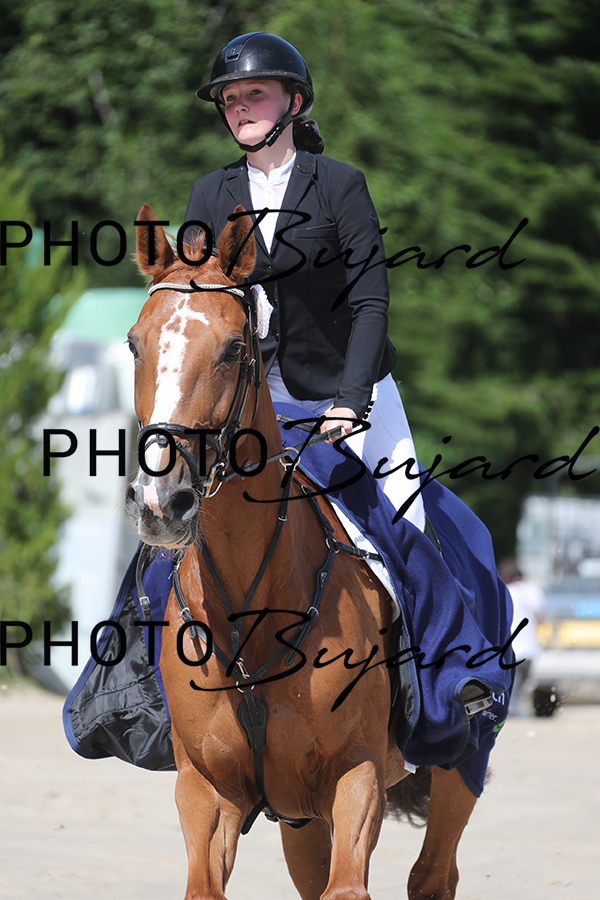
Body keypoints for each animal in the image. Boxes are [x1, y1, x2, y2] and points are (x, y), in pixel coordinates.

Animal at [125, 203, 479, 900]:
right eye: (134, 343)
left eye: (234, 349)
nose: (162, 500)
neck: (251, 606)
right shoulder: (208, 793)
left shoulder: (357, 778)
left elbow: (349, 886)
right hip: (298, 818)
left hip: (461, 761)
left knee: (433, 873)